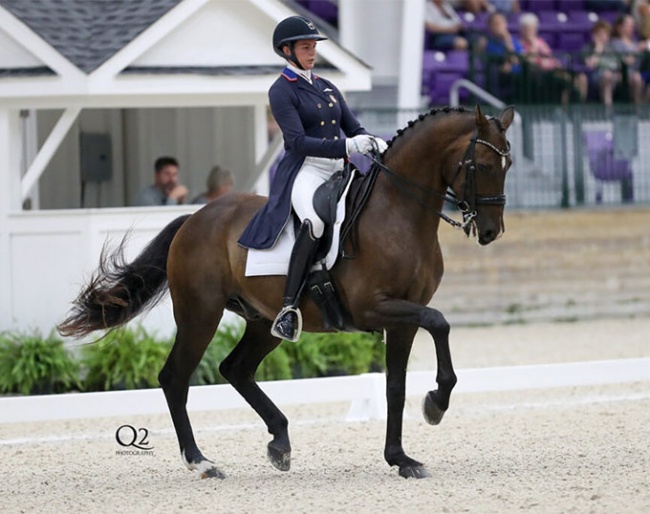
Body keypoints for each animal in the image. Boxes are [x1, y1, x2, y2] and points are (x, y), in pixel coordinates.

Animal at [62, 104, 516, 476]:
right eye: (482, 164)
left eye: (507, 163)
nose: (491, 232)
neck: (399, 213)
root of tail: (195, 217)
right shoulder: (375, 308)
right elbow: (440, 323)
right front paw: (436, 404)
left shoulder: (403, 315)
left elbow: (396, 386)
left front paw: (401, 458)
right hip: (200, 314)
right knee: (175, 376)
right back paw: (201, 461)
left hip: (263, 321)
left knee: (236, 369)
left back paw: (279, 441)